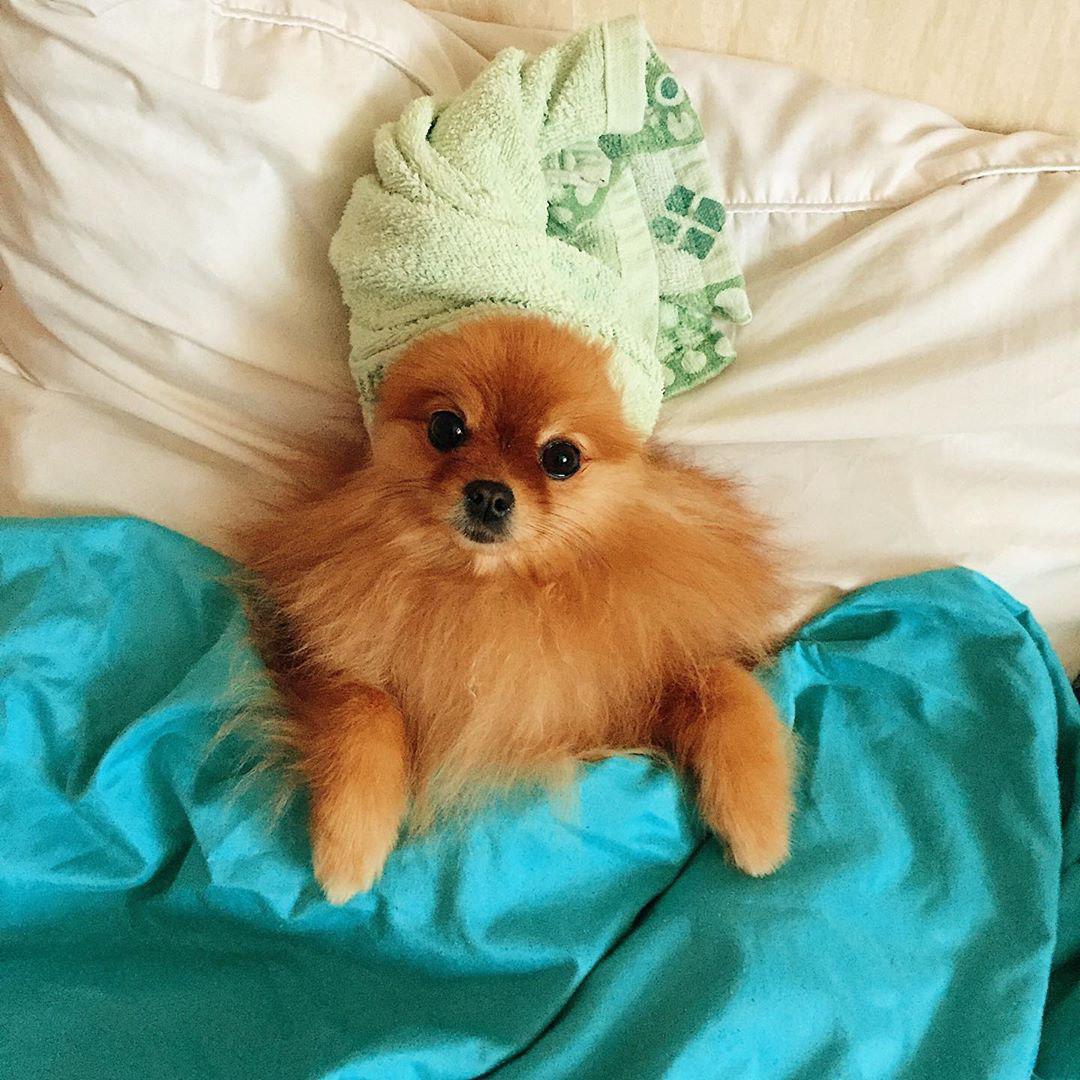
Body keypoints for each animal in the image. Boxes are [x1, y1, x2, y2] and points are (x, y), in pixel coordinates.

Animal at [243, 314, 794, 904]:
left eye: (562, 458)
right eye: (446, 429)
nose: (489, 494)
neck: (495, 591)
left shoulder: (620, 692)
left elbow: (725, 684)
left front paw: (760, 827)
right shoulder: (309, 646)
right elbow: (363, 704)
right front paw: (348, 845)